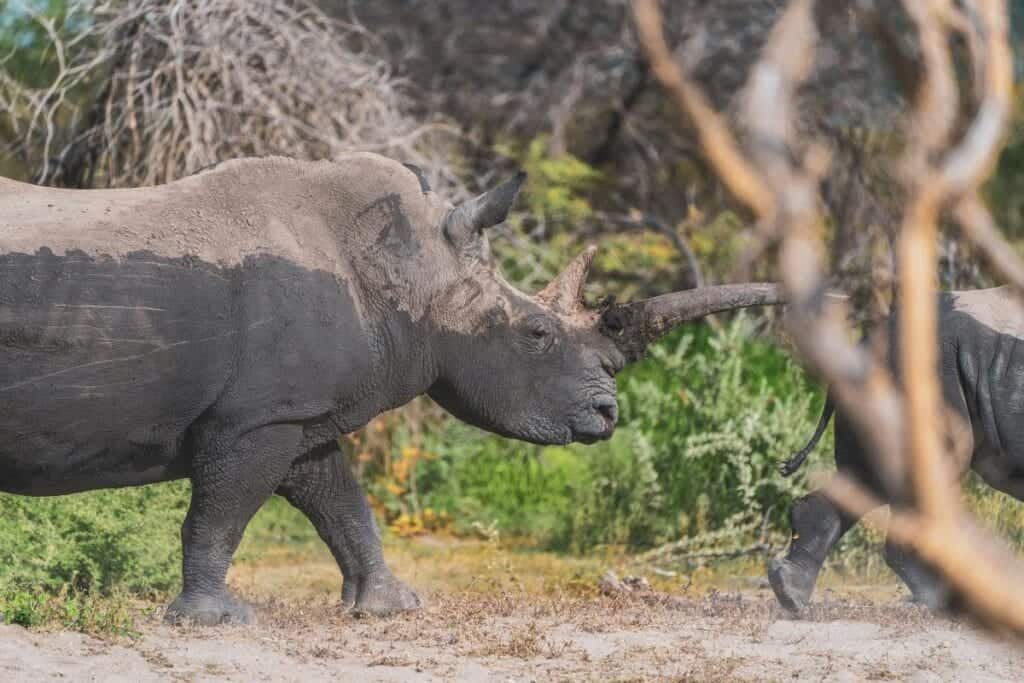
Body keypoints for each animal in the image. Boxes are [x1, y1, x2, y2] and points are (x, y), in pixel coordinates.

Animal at [0, 154, 778, 626]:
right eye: (535, 333)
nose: (606, 413)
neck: (411, 271)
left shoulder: (295, 415)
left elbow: (342, 503)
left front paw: (389, 606)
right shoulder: (254, 419)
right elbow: (221, 513)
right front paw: (213, 621)